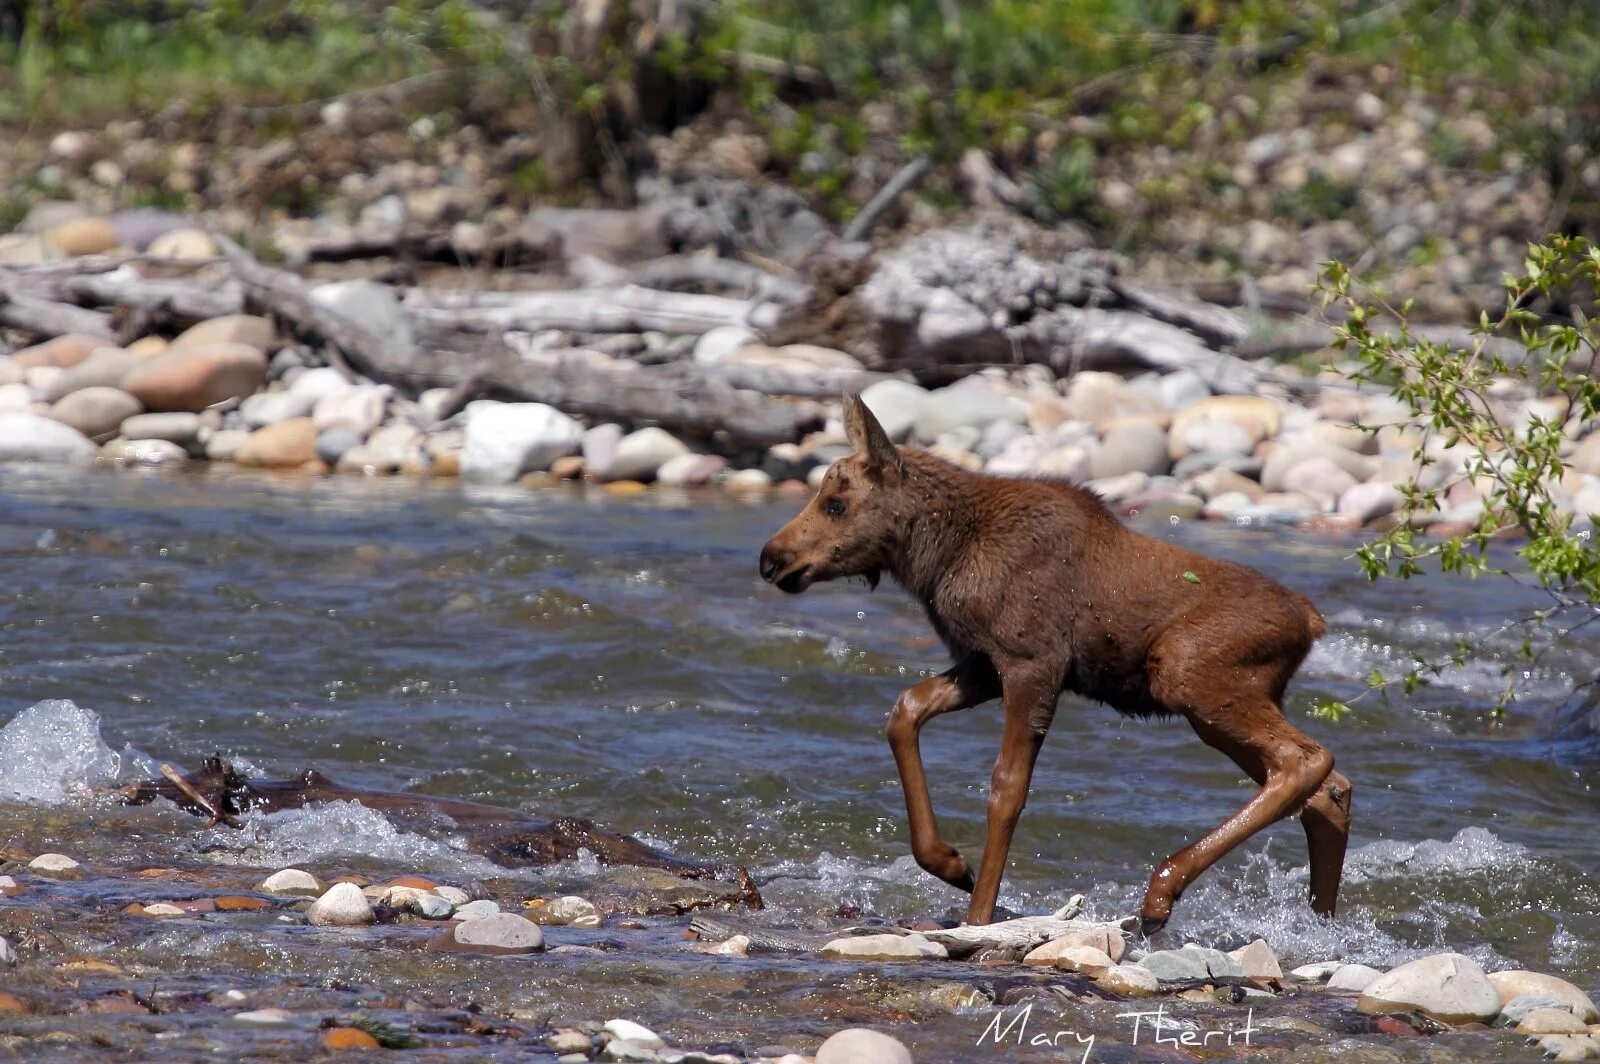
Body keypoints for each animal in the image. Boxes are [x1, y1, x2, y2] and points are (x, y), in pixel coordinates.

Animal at [761, 392, 1350, 928]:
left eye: (836, 504)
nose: (771, 559)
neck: (937, 560)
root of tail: (1312, 621)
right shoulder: (983, 664)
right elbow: (905, 709)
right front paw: (950, 862)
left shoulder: (1032, 663)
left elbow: (1007, 788)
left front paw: (978, 915)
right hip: (1225, 701)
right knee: (1327, 789)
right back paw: (1318, 925)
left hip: (1188, 675)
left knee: (1306, 760)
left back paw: (1161, 890)